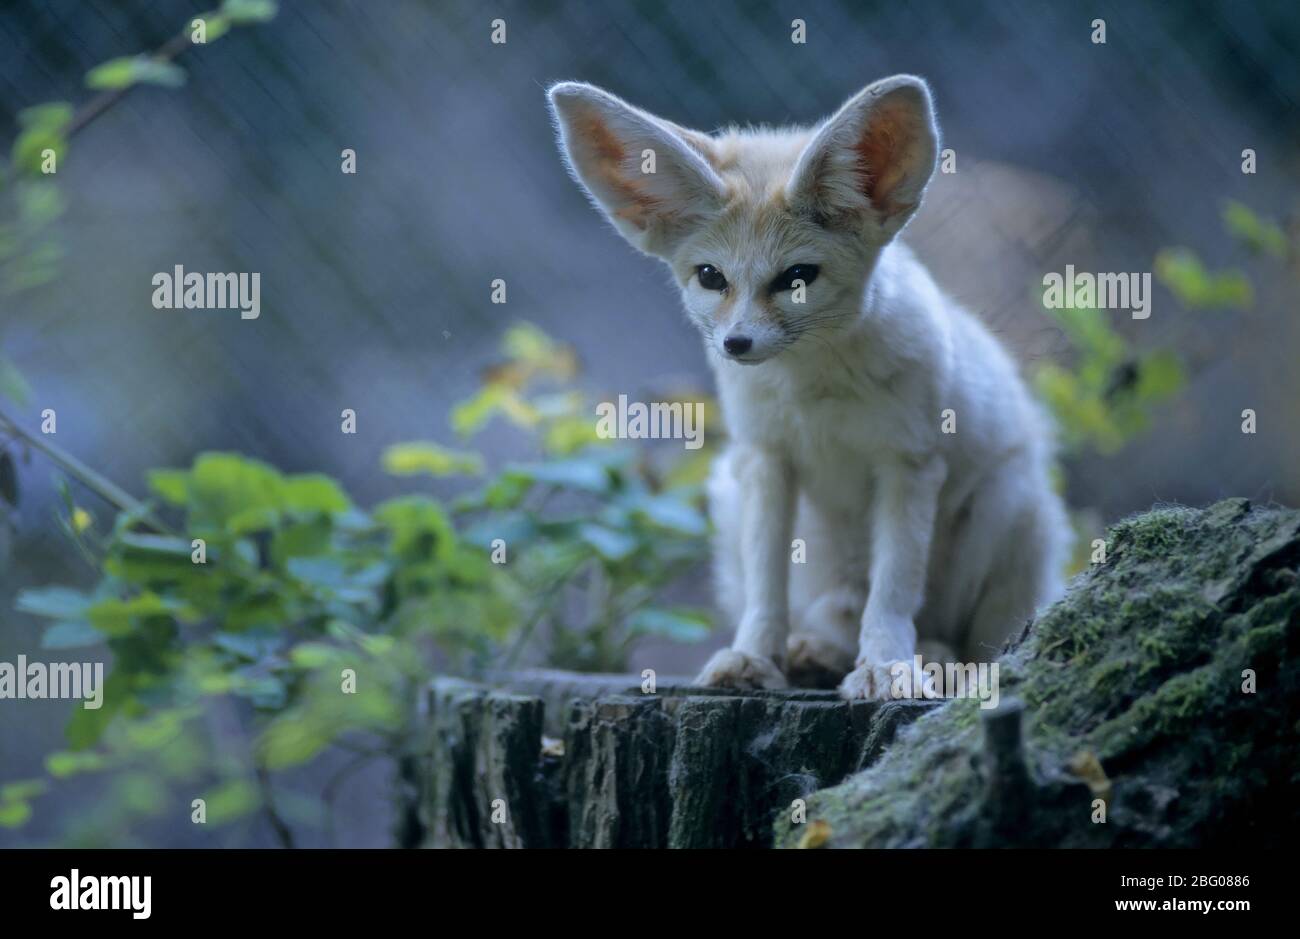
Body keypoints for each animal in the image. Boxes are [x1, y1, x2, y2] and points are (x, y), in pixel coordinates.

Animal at [548, 75, 1066, 697]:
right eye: (711, 277)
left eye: (797, 279)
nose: (736, 344)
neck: (813, 390)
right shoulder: (768, 460)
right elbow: (765, 586)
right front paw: (753, 656)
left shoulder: (910, 463)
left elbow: (894, 588)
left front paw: (887, 666)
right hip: (733, 496)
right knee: (829, 618)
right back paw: (813, 652)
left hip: (1006, 502)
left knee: (973, 642)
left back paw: (935, 658)